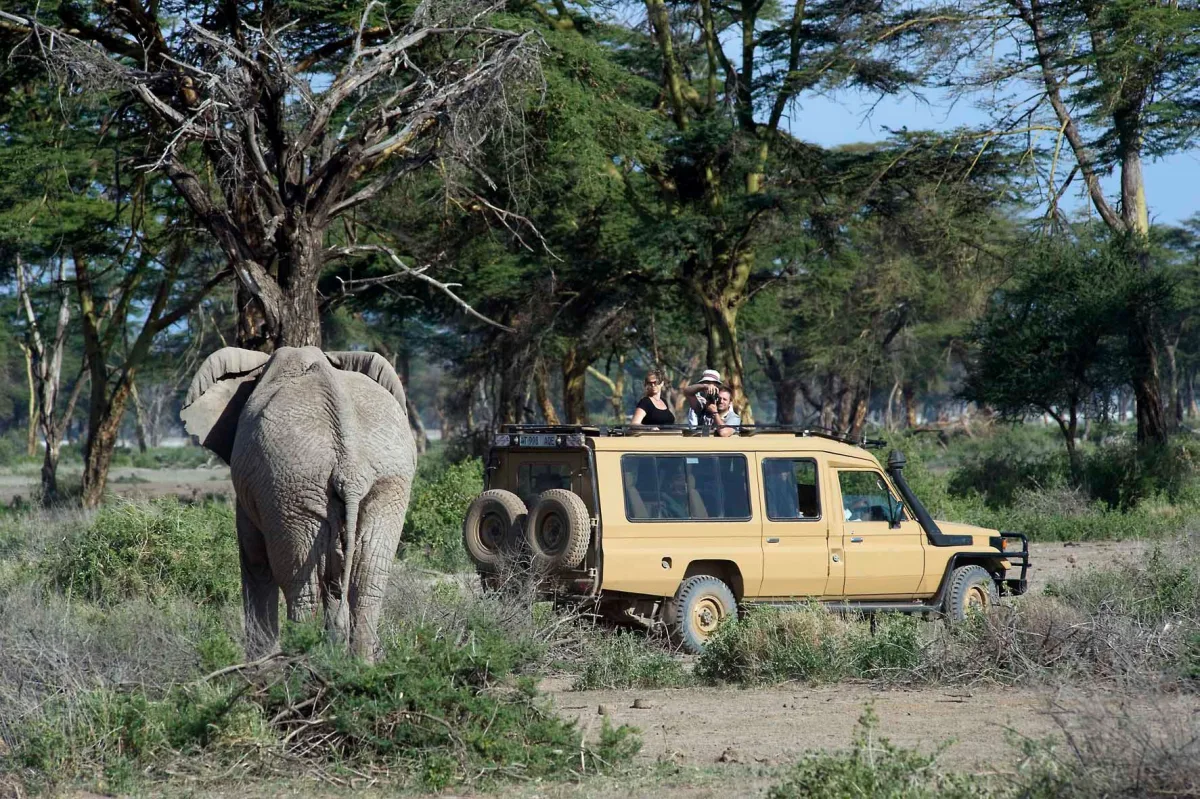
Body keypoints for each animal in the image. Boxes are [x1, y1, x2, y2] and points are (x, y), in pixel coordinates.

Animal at [181, 346, 417, 660]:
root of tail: (350, 468)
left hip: (289, 487)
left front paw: (258, 662)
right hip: (385, 483)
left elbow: (254, 560)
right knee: (366, 584)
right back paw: (359, 664)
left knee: (302, 588)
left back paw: (297, 662)